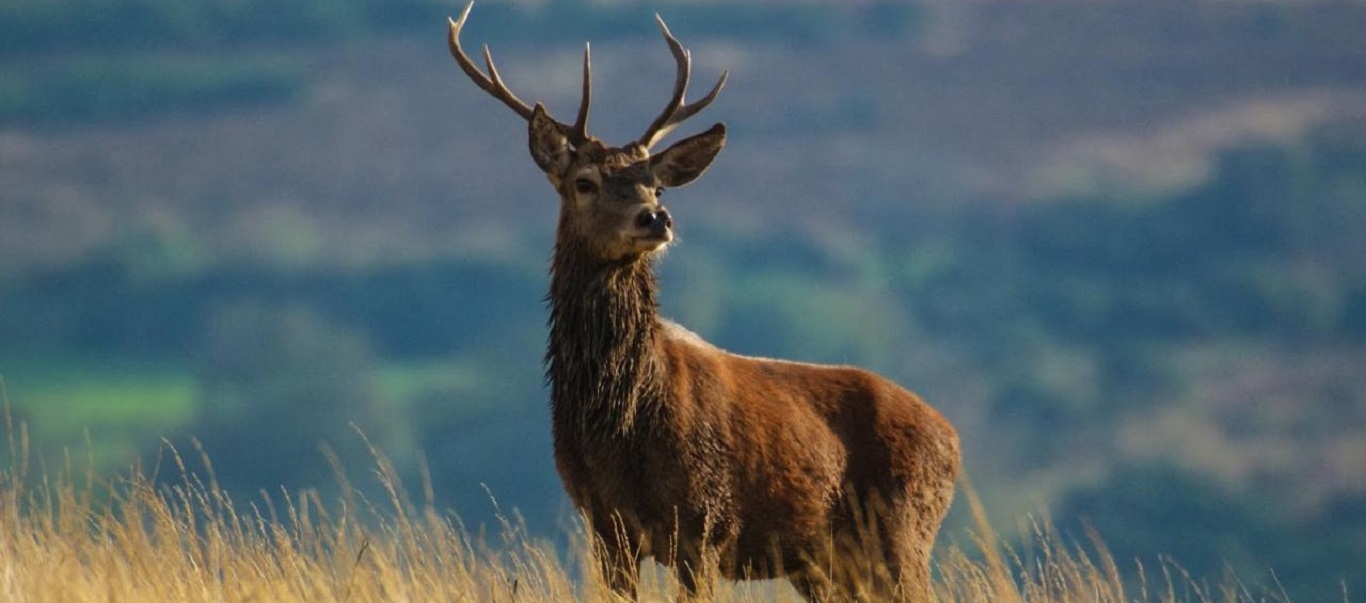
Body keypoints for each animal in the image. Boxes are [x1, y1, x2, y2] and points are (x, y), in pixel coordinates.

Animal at [448, 3, 961, 596]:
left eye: (657, 185)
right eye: (584, 182)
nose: (656, 217)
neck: (618, 426)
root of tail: (952, 438)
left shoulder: (706, 520)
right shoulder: (604, 526)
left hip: (901, 532)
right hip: (824, 563)